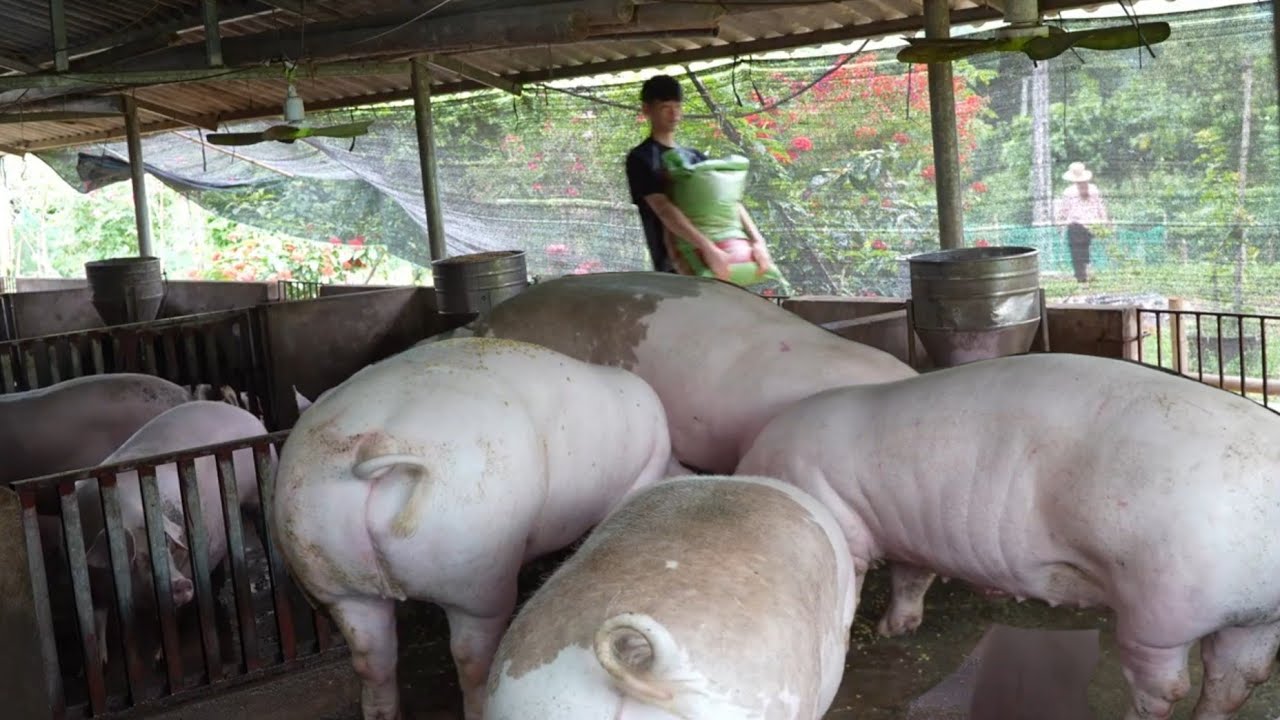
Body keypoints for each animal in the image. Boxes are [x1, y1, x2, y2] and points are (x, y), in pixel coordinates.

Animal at [76, 400, 270, 667]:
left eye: (167, 545)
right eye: (135, 557)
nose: (180, 583)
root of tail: (245, 414)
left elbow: (166, 618)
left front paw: (160, 658)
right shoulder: (90, 581)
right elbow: (96, 619)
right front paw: (102, 662)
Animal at [271, 337, 675, 720]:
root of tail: (373, 447)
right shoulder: (643, 474)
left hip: (329, 573)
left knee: (371, 660)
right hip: (476, 571)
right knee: (470, 659)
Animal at [736, 352, 1280, 720]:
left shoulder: (842, 522)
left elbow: (856, 579)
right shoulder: (911, 533)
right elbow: (912, 578)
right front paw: (896, 630)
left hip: (1157, 613)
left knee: (1165, 690)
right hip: (1257, 613)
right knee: (1237, 678)